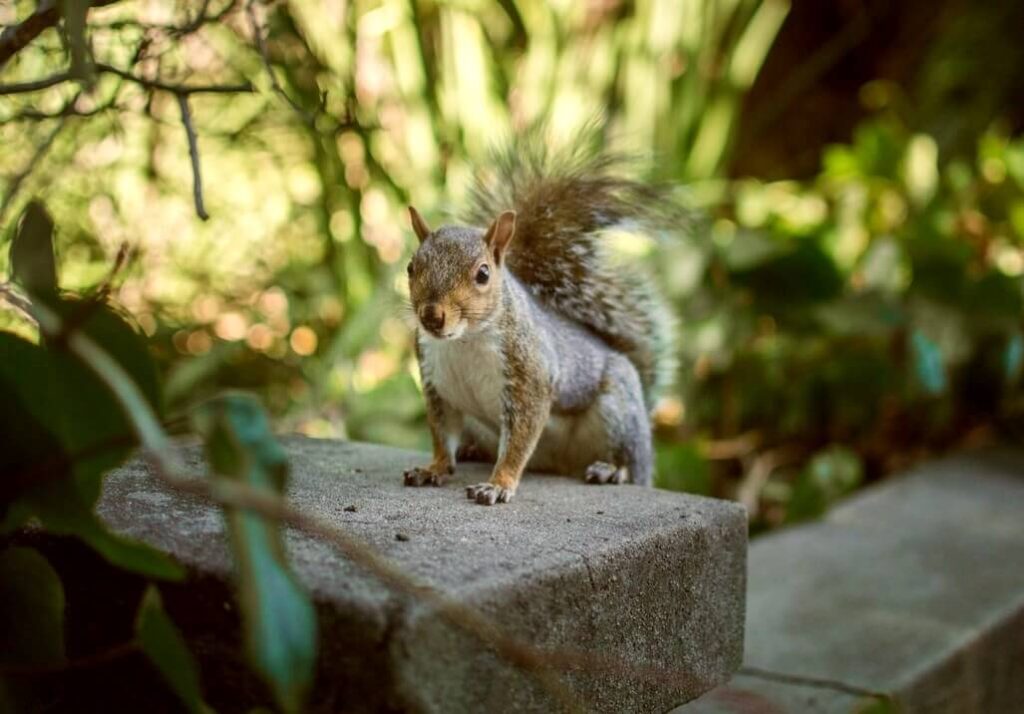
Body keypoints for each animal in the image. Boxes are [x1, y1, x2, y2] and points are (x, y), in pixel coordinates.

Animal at [401, 129, 679, 506]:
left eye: (483, 274)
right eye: (410, 267)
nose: (432, 316)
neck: (465, 340)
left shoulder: (529, 377)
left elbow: (519, 441)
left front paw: (498, 484)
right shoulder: (437, 384)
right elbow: (442, 435)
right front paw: (433, 468)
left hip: (618, 411)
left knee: (627, 459)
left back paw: (611, 470)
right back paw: (473, 451)